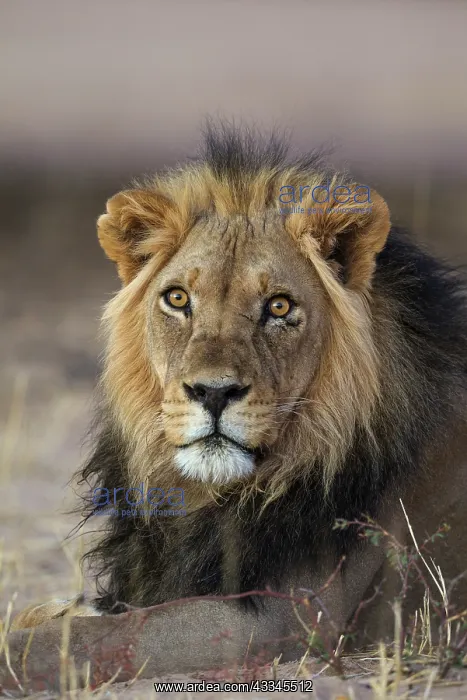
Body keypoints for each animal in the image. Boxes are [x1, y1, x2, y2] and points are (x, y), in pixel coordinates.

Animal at [8, 124, 467, 683]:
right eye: (177, 299)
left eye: (279, 306)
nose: (213, 392)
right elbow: (62, 613)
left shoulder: (282, 619)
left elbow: (94, 636)